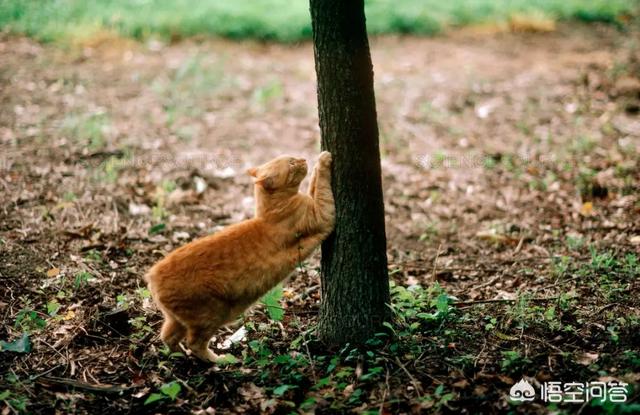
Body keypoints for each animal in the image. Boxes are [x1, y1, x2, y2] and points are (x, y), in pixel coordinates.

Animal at [145, 151, 336, 362]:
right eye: (292, 163)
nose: (303, 159)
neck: (270, 211)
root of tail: (152, 275)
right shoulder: (323, 216)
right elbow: (322, 188)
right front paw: (323, 159)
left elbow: (314, 184)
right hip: (212, 315)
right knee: (194, 343)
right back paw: (220, 361)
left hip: (177, 320)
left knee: (167, 336)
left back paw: (179, 356)